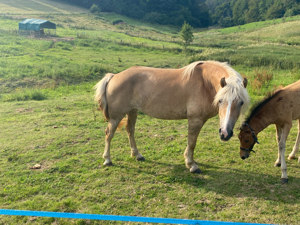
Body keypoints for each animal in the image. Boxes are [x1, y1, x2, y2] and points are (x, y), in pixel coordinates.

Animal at [95, 60, 250, 173]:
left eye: (241, 102)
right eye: (220, 101)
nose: (225, 133)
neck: (205, 83)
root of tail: (114, 76)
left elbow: (191, 142)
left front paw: (188, 159)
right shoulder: (195, 120)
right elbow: (192, 142)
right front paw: (192, 165)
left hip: (132, 111)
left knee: (130, 130)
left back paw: (137, 155)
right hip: (116, 117)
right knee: (109, 134)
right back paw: (107, 160)